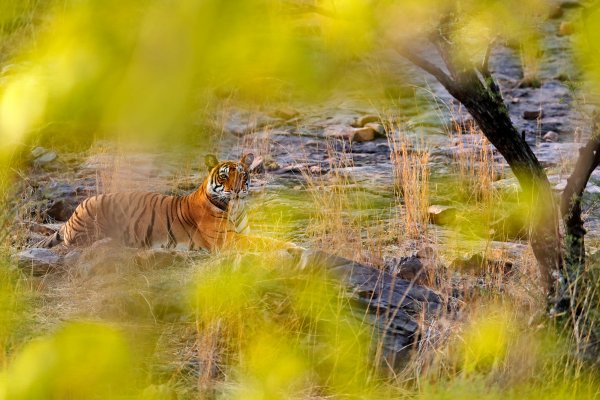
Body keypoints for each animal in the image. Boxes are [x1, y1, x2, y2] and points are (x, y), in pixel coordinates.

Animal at [35, 154, 282, 252]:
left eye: (242, 174)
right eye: (224, 176)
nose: (237, 190)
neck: (236, 208)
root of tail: (74, 213)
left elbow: (266, 238)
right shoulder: (227, 239)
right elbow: (266, 242)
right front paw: (290, 247)